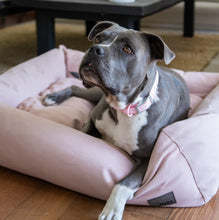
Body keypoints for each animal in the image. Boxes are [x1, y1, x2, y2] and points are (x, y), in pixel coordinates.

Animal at [43, 21, 190, 220]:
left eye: (127, 49)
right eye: (99, 38)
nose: (95, 49)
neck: (124, 109)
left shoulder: (147, 160)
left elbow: (123, 183)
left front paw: (112, 209)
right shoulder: (92, 118)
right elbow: (83, 134)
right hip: (95, 92)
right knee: (75, 87)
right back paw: (53, 97)